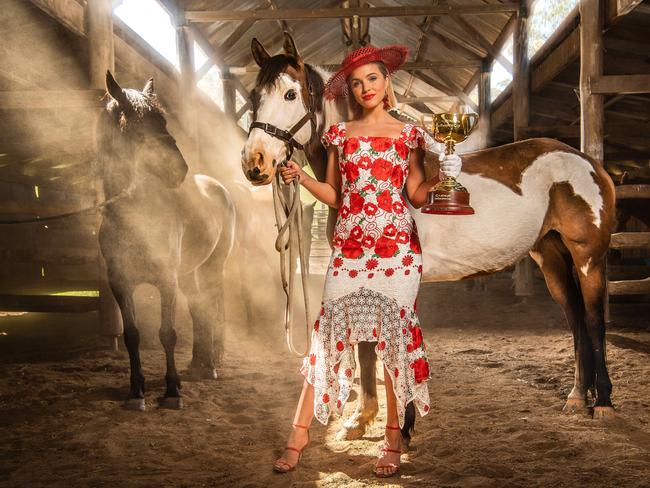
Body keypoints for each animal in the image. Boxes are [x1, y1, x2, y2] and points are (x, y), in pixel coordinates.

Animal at [98, 70, 235, 410]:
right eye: (136, 125)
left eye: (162, 120)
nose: (179, 170)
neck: (138, 216)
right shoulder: (120, 283)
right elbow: (132, 335)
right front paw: (136, 392)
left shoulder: (165, 280)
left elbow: (167, 333)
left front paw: (172, 391)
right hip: (187, 273)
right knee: (198, 309)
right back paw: (197, 365)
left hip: (212, 267)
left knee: (212, 307)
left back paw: (212, 365)